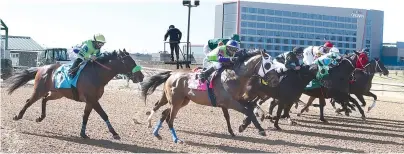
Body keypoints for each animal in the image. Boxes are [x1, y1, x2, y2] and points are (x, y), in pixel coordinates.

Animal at [5, 49, 144, 140]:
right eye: (130, 62)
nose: (141, 76)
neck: (97, 74)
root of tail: (41, 68)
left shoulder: (90, 101)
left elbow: (85, 116)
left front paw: (83, 134)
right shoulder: (92, 100)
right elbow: (104, 114)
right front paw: (114, 133)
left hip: (57, 93)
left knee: (44, 99)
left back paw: (41, 117)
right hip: (39, 90)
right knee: (29, 101)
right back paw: (18, 116)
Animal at [140, 50, 280, 143]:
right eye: (268, 64)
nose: (276, 80)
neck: (233, 76)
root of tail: (172, 74)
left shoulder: (237, 100)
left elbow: (247, 109)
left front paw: (243, 127)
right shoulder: (230, 102)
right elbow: (247, 111)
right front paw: (258, 129)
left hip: (181, 101)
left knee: (163, 112)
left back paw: (156, 133)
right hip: (176, 101)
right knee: (168, 117)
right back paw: (174, 138)